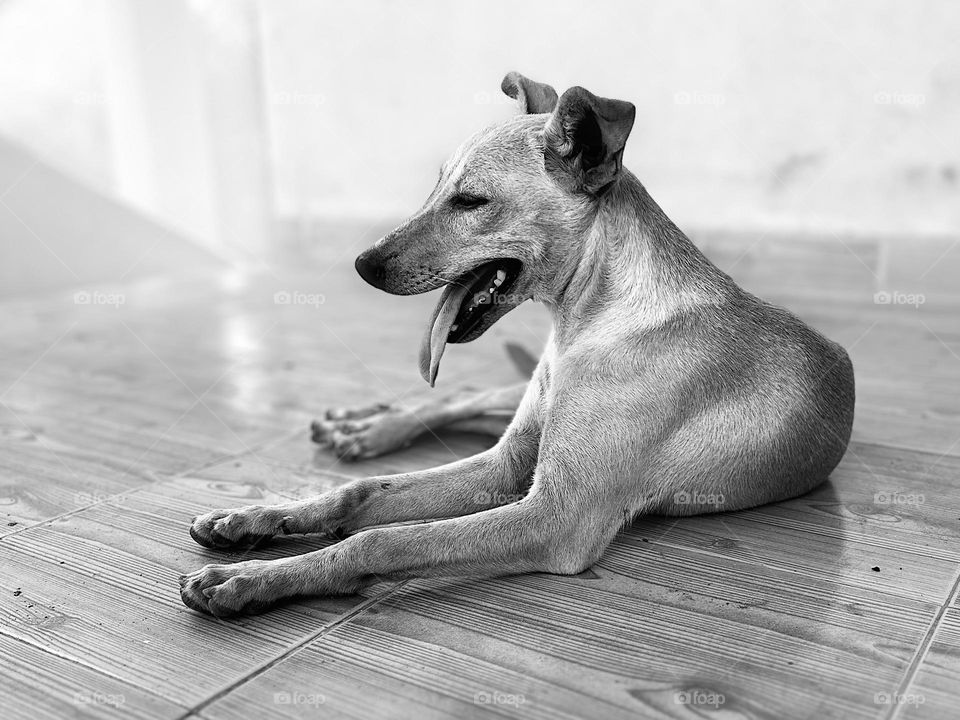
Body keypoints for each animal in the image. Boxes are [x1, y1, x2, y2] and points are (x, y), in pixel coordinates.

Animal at [180, 71, 856, 620]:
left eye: (470, 200)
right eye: (436, 188)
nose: (362, 265)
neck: (590, 323)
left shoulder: (555, 515)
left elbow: (381, 536)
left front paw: (252, 579)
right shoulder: (507, 468)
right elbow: (364, 494)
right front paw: (252, 520)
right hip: (514, 410)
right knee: (462, 397)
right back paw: (367, 425)